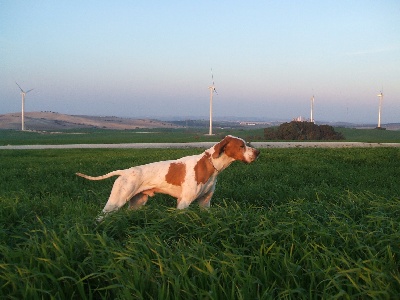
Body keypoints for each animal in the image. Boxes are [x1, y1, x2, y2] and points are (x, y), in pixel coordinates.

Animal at [76, 135, 260, 220]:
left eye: (246, 144)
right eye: (241, 146)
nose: (258, 152)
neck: (210, 166)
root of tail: (125, 171)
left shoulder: (205, 203)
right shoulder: (184, 202)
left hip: (137, 203)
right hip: (116, 201)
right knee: (100, 217)